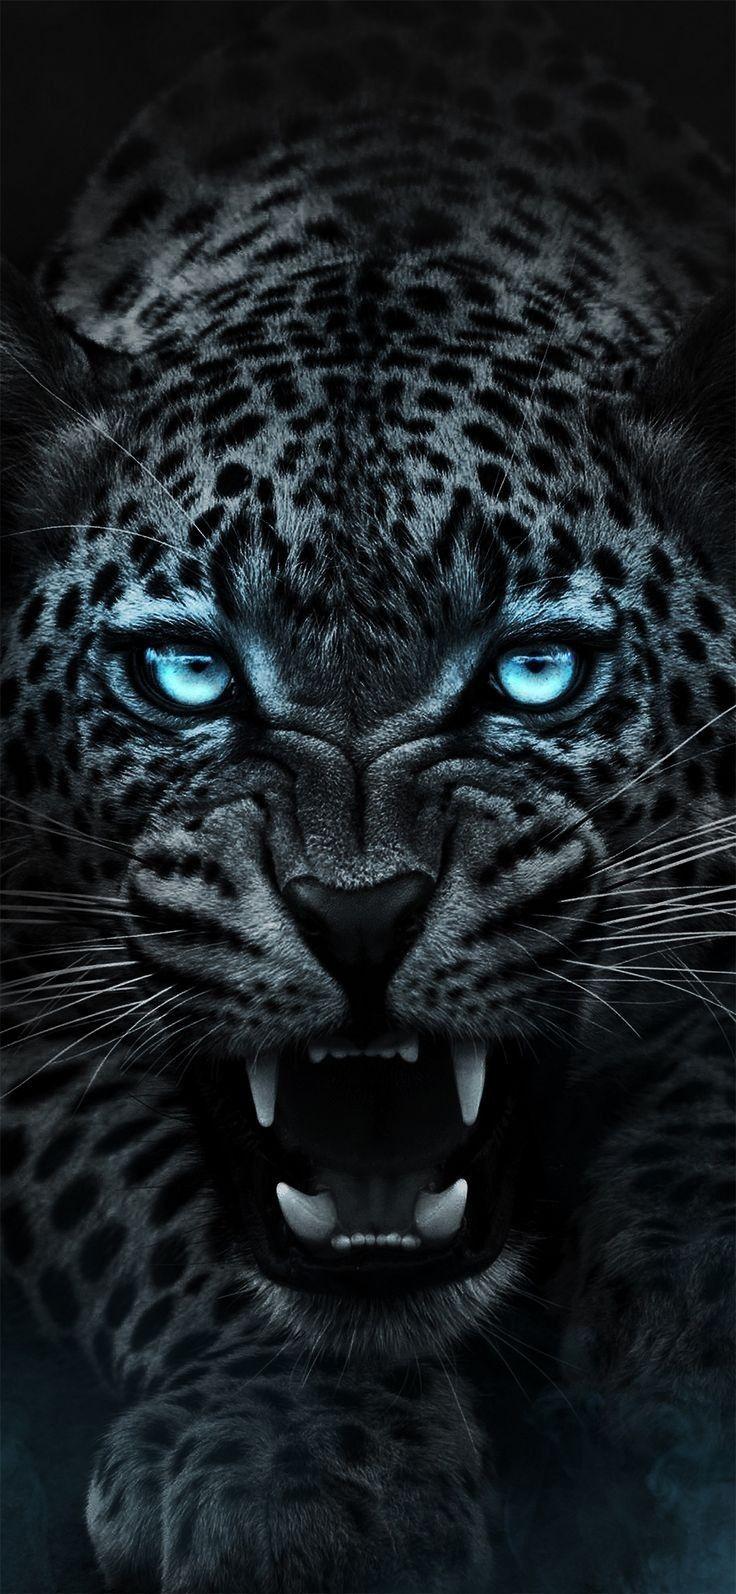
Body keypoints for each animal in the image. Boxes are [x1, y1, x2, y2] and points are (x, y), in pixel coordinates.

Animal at [1, 4, 734, 1592]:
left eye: (534, 672)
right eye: (185, 673)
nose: (357, 915)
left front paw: (695, 1307)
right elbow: (133, 1177)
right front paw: (301, 1462)